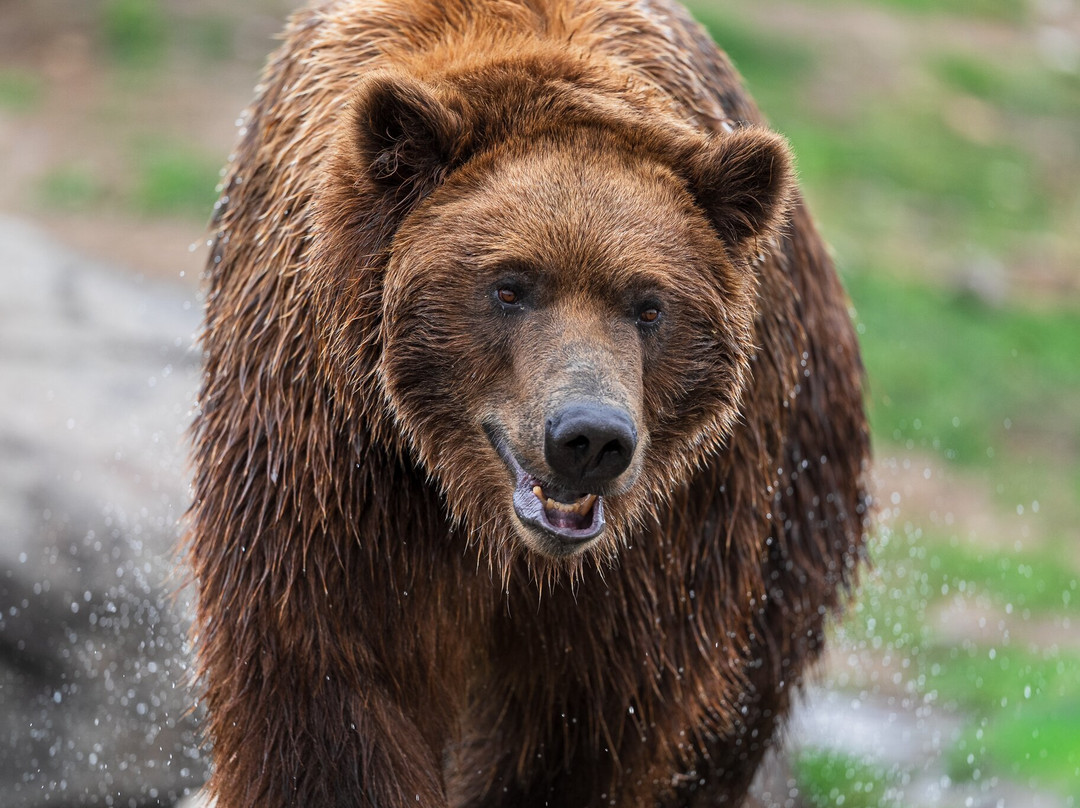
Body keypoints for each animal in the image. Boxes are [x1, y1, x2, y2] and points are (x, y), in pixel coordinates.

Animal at [187, 0, 870, 806]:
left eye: (650, 306)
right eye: (509, 286)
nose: (590, 438)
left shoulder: (661, 541)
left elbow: (580, 722)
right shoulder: (334, 460)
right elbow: (331, 680)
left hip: (796, 500)